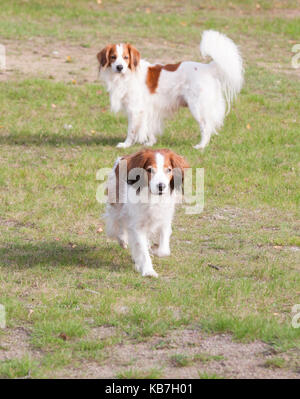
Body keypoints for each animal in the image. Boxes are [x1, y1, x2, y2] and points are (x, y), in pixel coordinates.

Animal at [97, 30, 243, 150]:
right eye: (113, 57)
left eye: (126, 57)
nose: (119, 67)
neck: (126, 75)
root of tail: (207, 68)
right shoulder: (148, 108)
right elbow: (149, 127)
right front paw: (150, 143)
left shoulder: (135, 109)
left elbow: (131, 130)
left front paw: (126, 144)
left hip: (197, 107)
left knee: (206, 127)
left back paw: (201, 146)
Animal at [104, 148, 189, 276]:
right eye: (149, 170)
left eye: (169, 170)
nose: (161, 186)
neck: (152, 198)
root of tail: (123, 158)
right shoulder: (137, 225)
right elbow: (142, 249)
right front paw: (148, 270)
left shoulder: (165, 219)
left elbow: (164, 249)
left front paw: (155, 251)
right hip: (117, 203)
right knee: (117, 220)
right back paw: (122, 239)